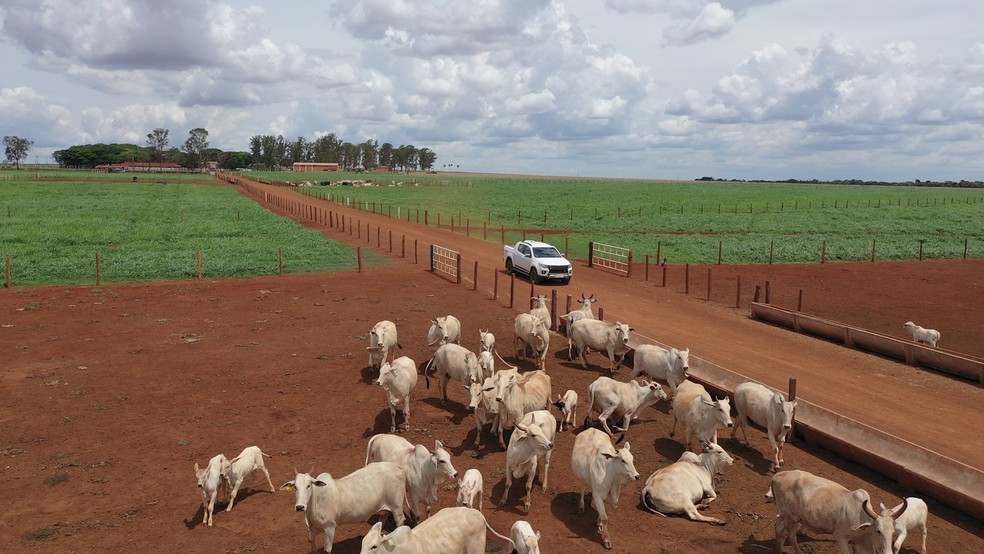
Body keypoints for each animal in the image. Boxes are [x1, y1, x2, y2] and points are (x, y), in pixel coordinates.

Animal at [280, 462, 408, 552]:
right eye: (295, 487)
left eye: (308, 485)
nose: (300, 507)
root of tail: (396, 466)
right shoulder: (311, 528)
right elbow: (311, 542)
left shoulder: (330, 528)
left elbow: (327, 549)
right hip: (384, 509)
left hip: (396, 507)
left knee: (400, 521)